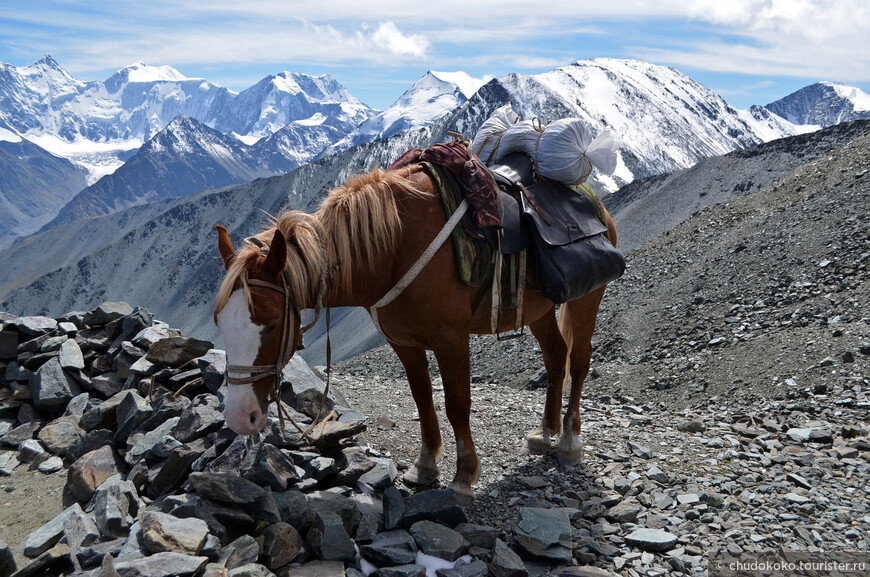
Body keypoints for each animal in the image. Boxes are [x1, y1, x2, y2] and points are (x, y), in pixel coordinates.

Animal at [214, 163, 616, 500]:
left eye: (272, 323)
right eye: (220, 322)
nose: (239, 417)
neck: (393, 250)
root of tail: (592, 198)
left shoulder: (451, 340)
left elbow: (457, 405)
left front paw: (463, 477)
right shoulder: (403, 342)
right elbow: (422, 399)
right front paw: (425, 467)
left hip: (587, 298)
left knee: (579, 360)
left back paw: (568, 440)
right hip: (540, 310)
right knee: (555, 356)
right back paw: (544, 433)